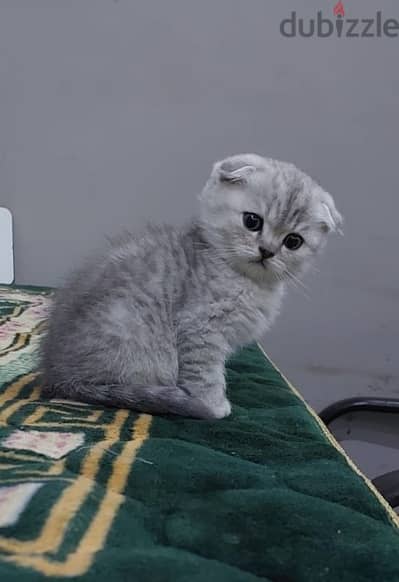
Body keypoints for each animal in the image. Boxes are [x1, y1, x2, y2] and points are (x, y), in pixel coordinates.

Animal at [41, 155, 344, 420]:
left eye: (293, 241)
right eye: (252, 221)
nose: (267, 251)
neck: (245, 279)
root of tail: (59, 376)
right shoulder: (199, 325)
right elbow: (204, 372)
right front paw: (212, 403)